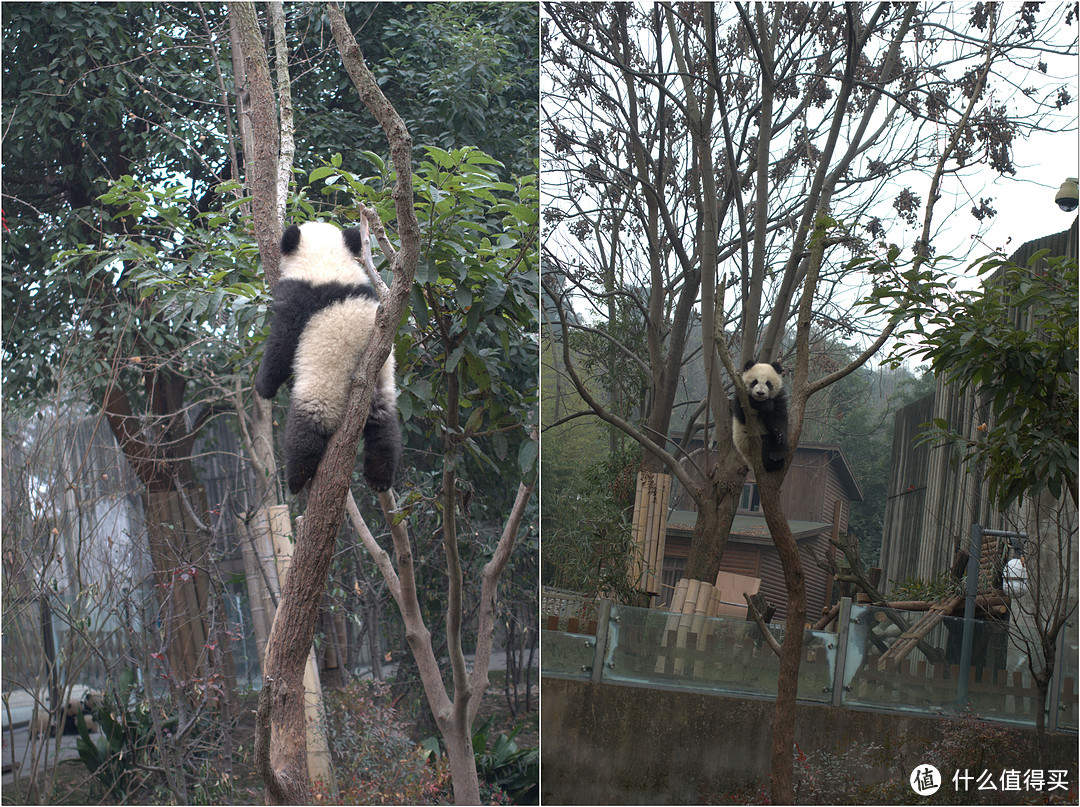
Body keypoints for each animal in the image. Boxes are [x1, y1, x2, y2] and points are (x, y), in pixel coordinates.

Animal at [255, 223, 401, 494]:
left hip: (323, 392)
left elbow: (282, 345)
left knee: (305, 430)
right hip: (382, 385)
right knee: (384, 429)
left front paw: (263, 386)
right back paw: (379, 478)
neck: (329, 265)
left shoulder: (299, 299)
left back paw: (297, 479)